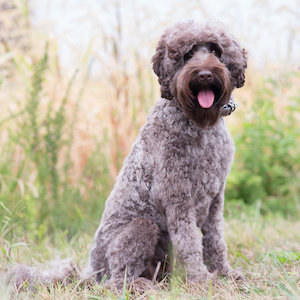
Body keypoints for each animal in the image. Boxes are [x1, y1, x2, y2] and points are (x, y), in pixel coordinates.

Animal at [5, 20, 247, 290]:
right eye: (187, 55)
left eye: (216, 51)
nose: (204, 74)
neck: (198, 124)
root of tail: (90, 272)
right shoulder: (178, 197)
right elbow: (190, 241)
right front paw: (202, 279)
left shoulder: (215, 197)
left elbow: (215, 240)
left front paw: (224, 272)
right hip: (143, 227)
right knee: (117, 279)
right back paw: (140, 285)